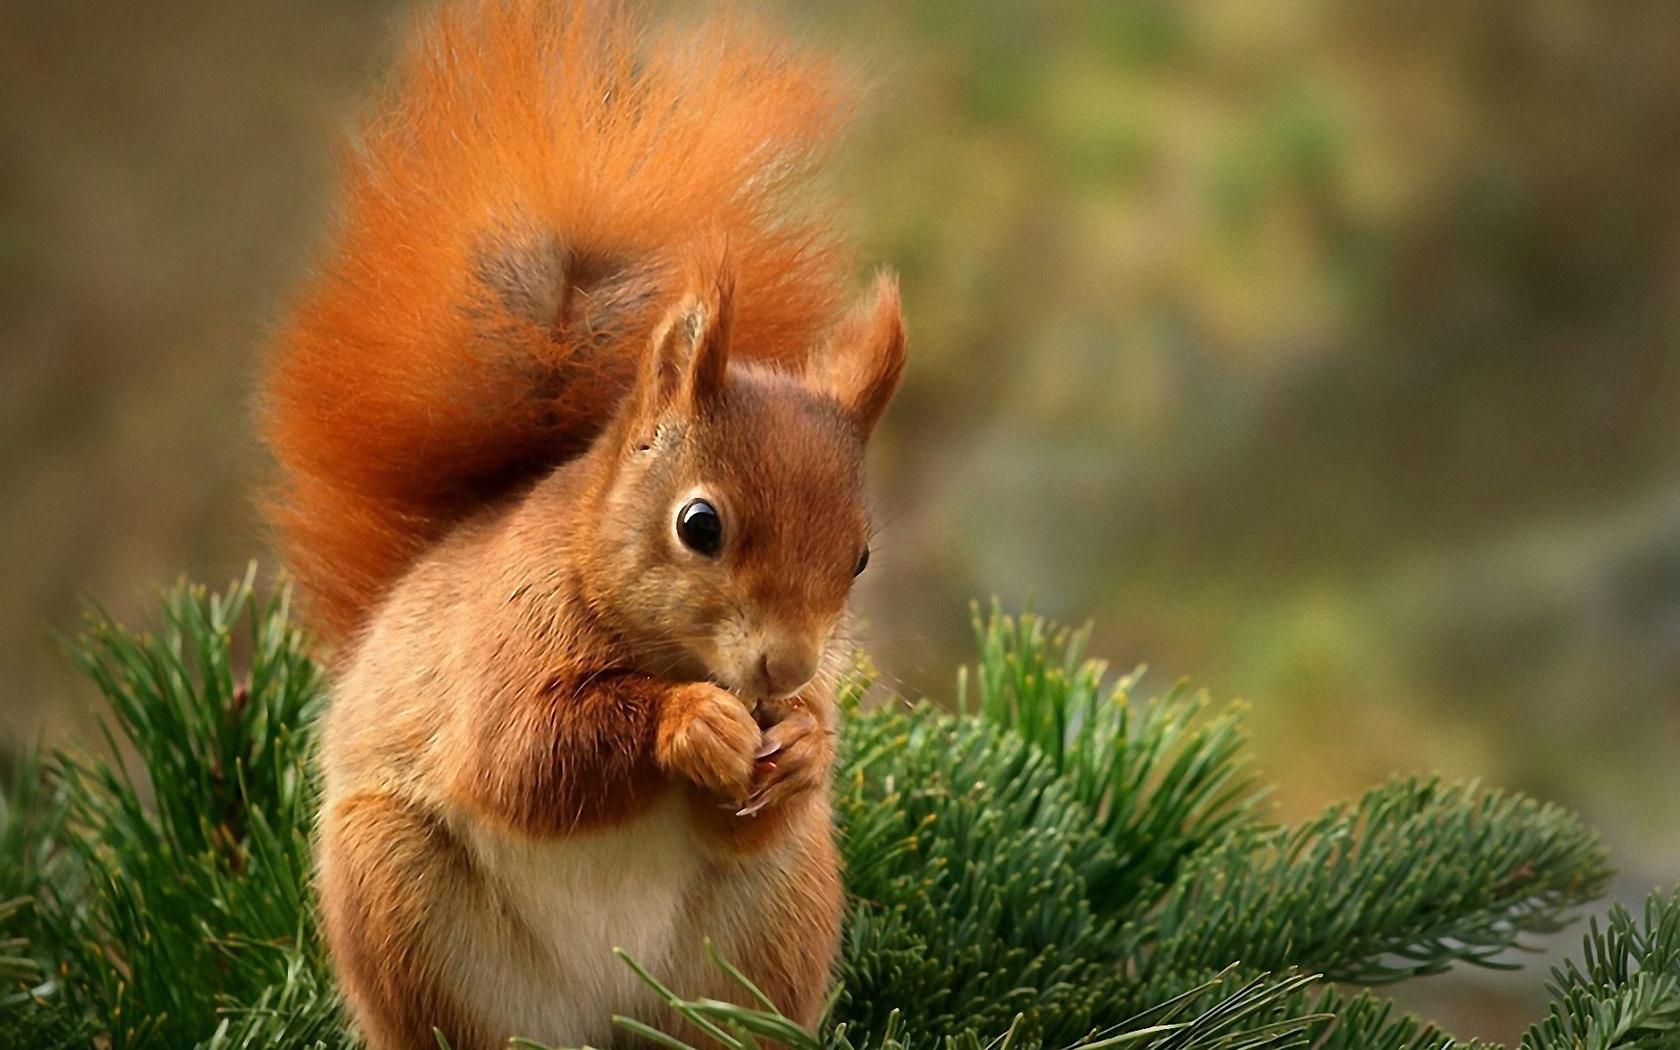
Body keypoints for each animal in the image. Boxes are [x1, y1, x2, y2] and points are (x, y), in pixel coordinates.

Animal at [260, 1, 905, 1048]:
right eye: (699, 525)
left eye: (859, 557)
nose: (788, 669)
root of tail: (606, 1019)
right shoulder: (506, 639)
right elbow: (524, 755)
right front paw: (690, 723)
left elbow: (757, 805)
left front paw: (808, 745)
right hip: (396, 895)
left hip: (775, 917)